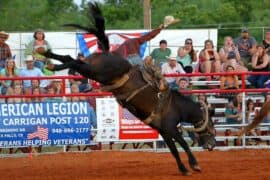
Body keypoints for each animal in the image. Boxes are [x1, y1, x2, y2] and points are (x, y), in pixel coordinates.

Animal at [37, 2, 215, 175]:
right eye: (211, 124)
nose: (213, 144)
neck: (176, 105)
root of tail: (108, 52)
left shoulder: (164, 131)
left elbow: (174, 151)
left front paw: (184, 169)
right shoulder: (171, 129)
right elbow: (183, 145)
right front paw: (195, 165)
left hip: (90, 67)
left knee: (70, 58)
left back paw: (47, 56)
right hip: (95, 72)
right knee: (73, 61)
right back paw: (50, 62)